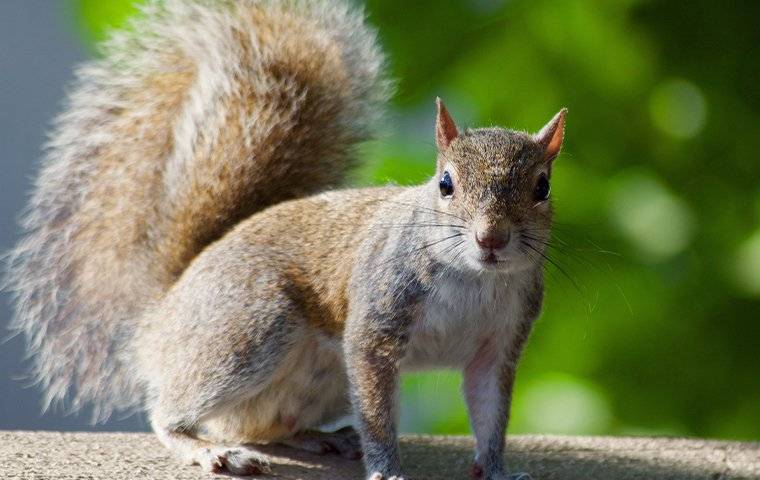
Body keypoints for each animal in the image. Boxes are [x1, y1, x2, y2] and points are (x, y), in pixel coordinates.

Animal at [4, 0, 564, 480]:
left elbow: (491, 417)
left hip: (317, 379)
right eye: (445, 183)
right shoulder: (376, 323)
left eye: (543, 187)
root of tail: (161, 313)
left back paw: (318, 438)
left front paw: (497, 470)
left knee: (264, 423)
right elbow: (379, 411)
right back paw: (210, 450)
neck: (473, 278)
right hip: (247, 330)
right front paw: (386, 468)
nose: (491, 238)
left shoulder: (498, 345)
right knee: (171, 414)